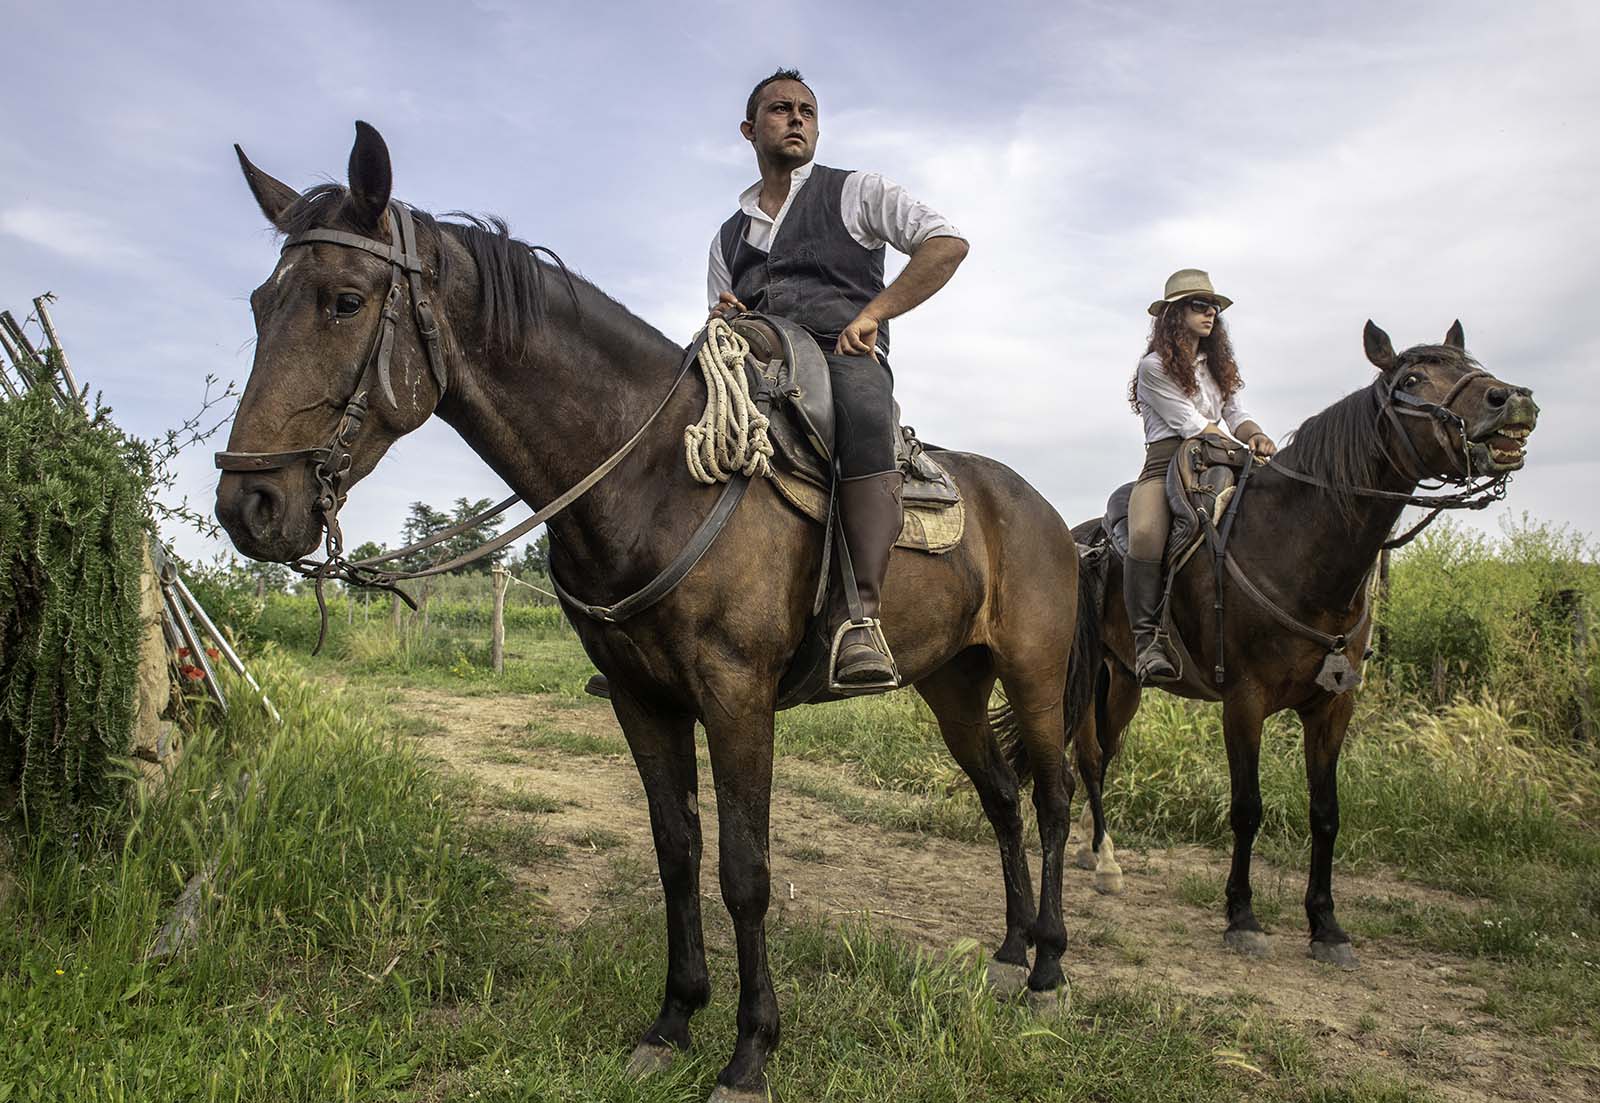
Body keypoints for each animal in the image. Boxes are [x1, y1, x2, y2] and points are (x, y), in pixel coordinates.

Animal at [212, 122, 1094, 1101]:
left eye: (345, 299)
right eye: (260, 304)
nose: (248, 505)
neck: (648, 472)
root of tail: (1047, 514)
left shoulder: (737, 696)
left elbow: (745, 870)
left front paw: (750, 1052)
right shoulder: (643, 698)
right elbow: (677, 850)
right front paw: (673, 1020)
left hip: (1034, 674)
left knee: (1053, 798)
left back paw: (1050, 967)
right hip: (951, 683)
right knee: (1001, 796)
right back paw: (1010, 952)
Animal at [1049, 323, 1536, 966]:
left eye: (1469, 364)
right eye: (1410, 378)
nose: (1513, 400)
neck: (1297, 547)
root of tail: (1081, 539)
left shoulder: (1334, 705)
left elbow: (1325, 814)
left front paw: (1326, 926)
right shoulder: (1244, 701)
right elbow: (1247, 809)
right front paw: (1242, 918)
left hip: (1125, 678)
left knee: (1103, 754)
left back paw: (1096, 853)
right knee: (1091, 758)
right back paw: (1105, 865)